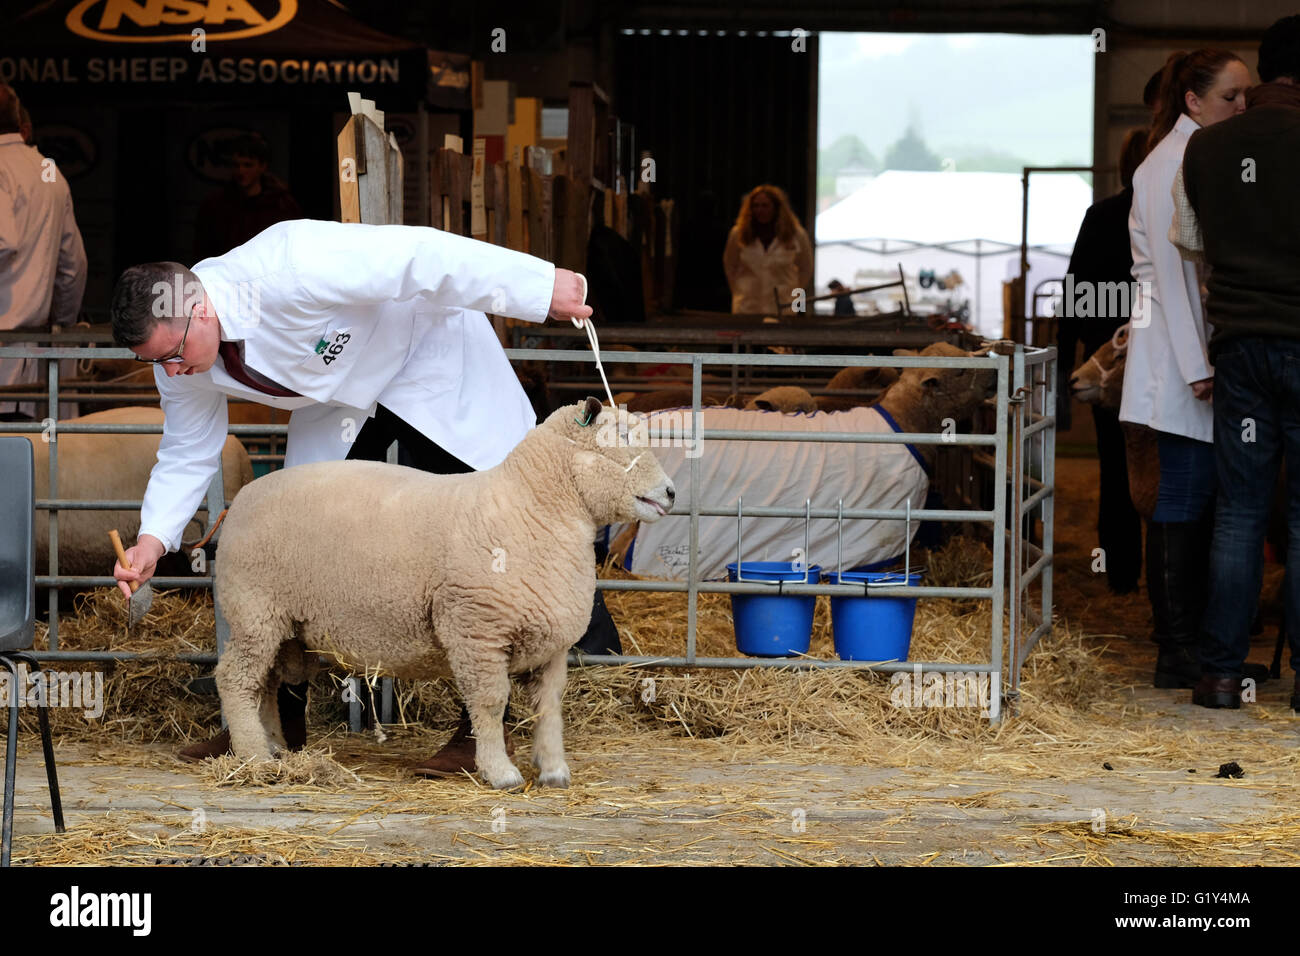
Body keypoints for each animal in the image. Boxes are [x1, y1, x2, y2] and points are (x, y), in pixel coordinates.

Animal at [214, 398, 676, 790]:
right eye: (621, 439)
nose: (671, 493)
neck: (530, 508)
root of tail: (243, 497)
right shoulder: (478, 630)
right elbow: (489, 702)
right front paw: (500, 772)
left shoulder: (550, 645)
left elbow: (549, 707)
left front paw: (553, 769)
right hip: (254, 609)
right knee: (236, 679)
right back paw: (254, 756)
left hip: (284, 623)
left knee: (267, 682)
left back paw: (273, 744)